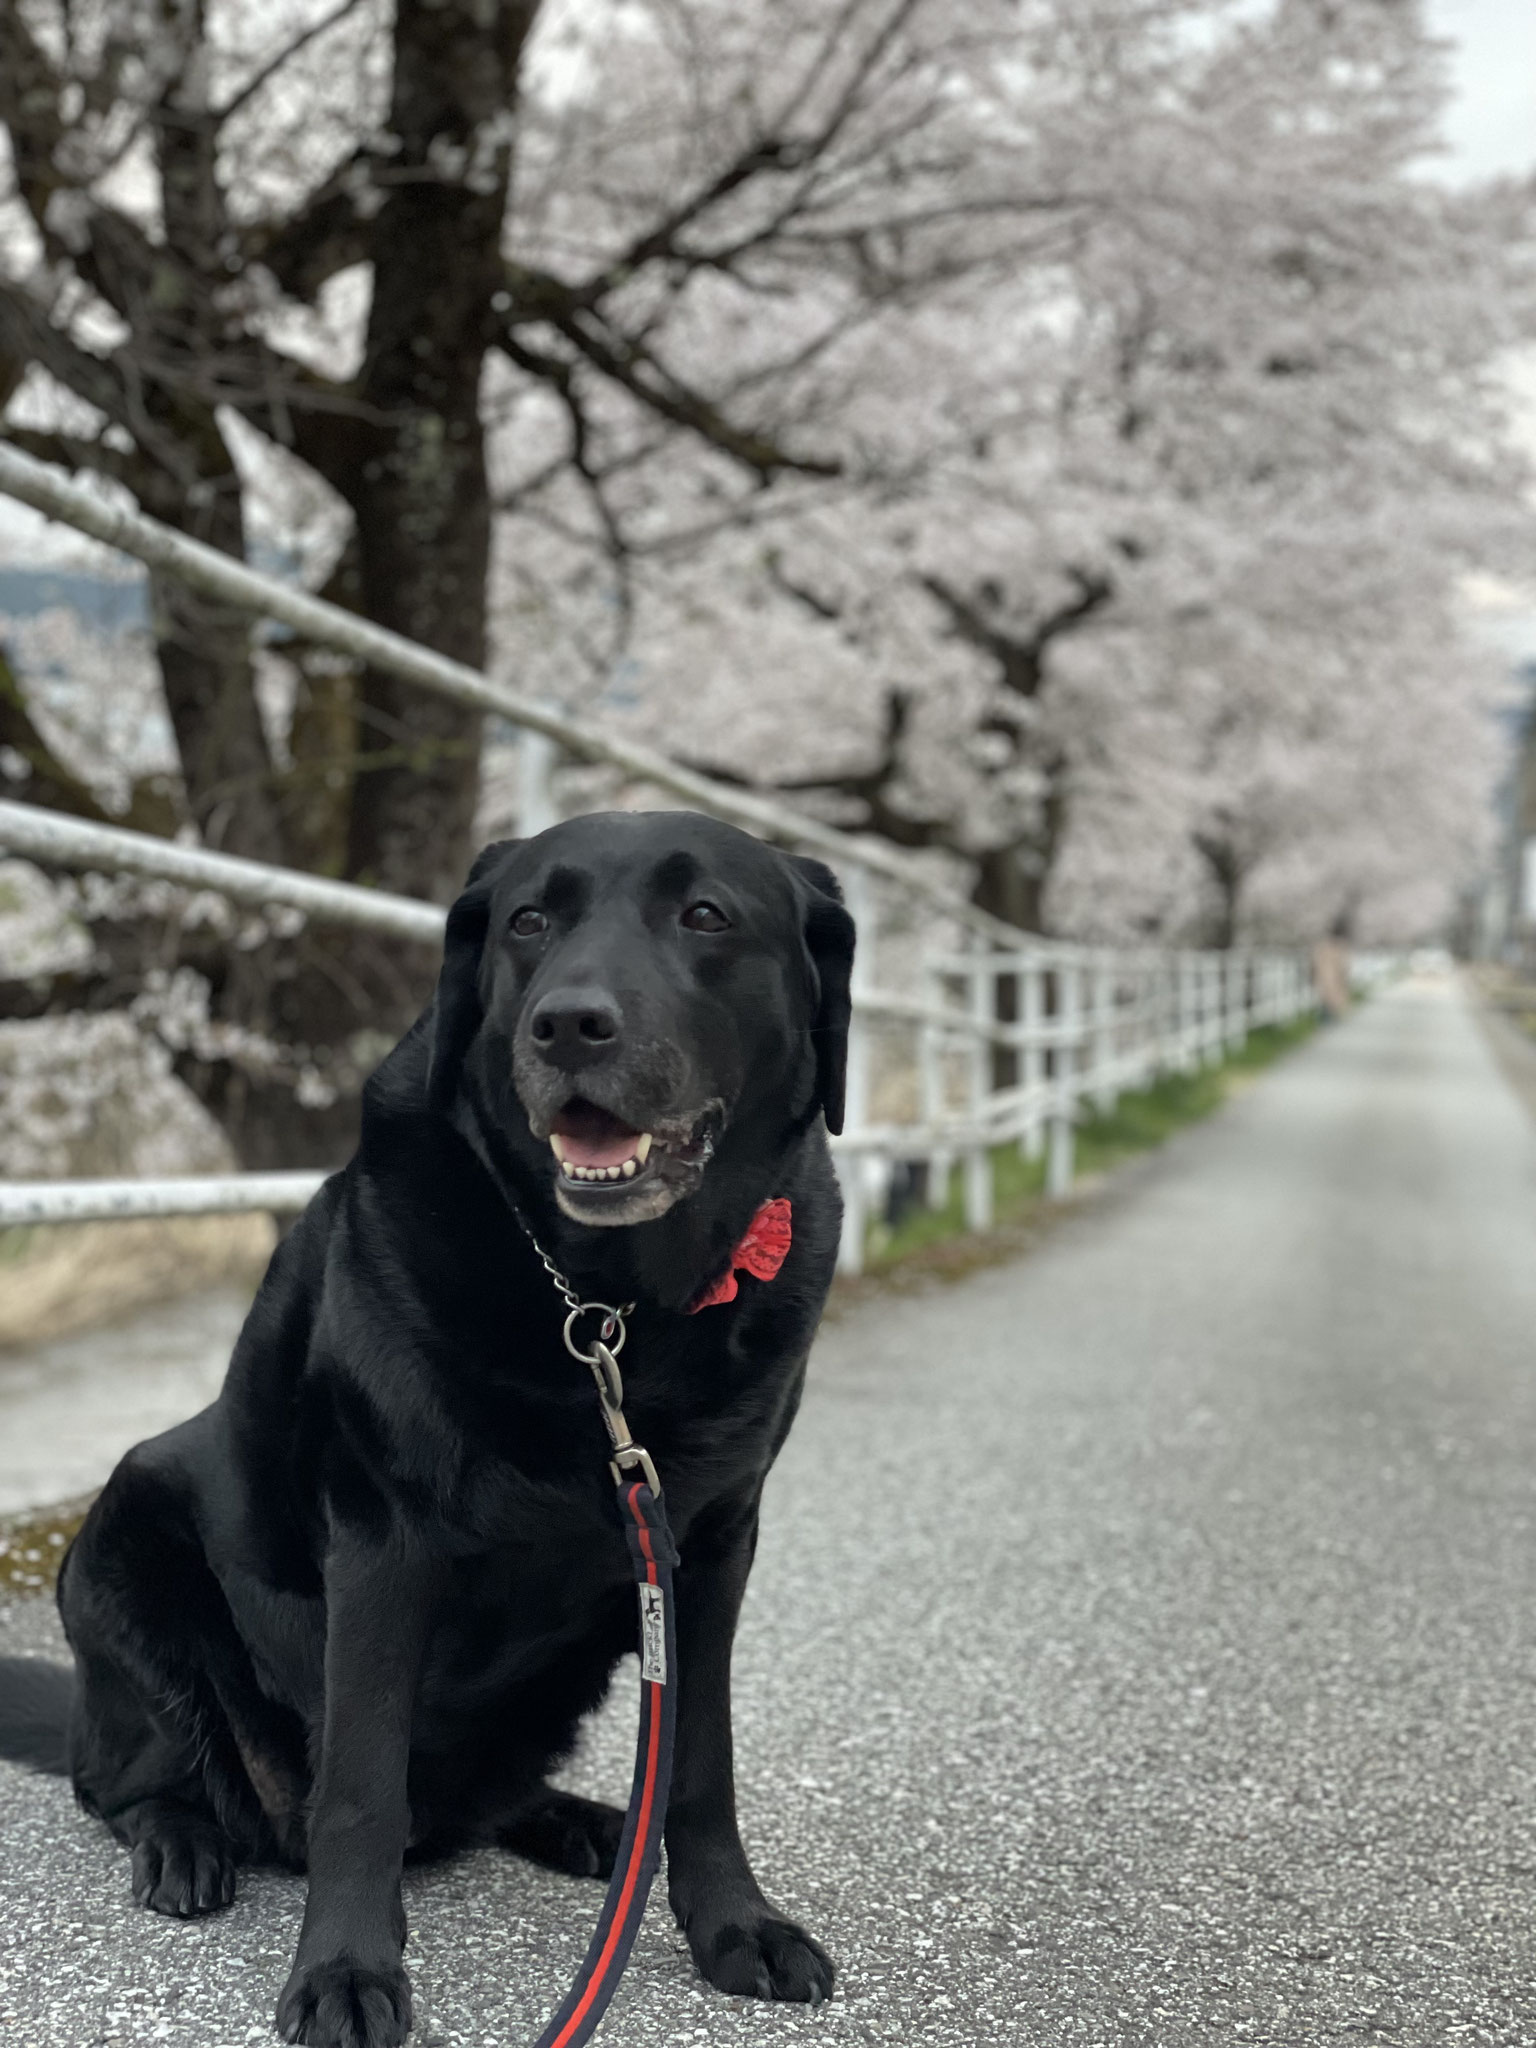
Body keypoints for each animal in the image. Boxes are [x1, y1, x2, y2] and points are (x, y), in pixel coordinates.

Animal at [0, 815, 856, 2048]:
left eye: (707, 916)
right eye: (529, 921)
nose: (568, 1023)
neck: (605, 1309)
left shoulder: (710, 1546)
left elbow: (700, 1763)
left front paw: (735, 1922)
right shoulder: (384, 1542)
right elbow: (359, 1786)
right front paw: (345, 1970)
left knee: (487, 1802)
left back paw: (592, 1826)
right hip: (124, 1535)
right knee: (128, 1786)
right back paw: (183, 1844)